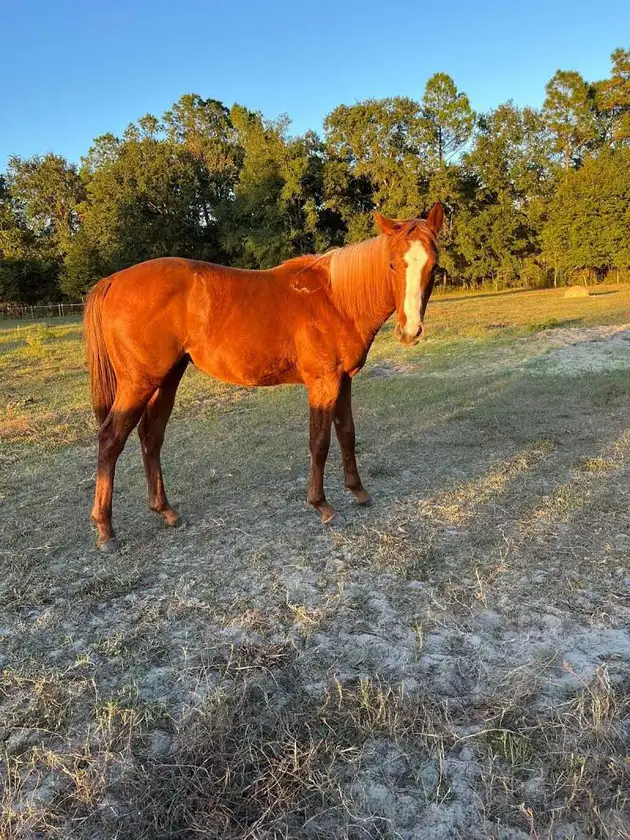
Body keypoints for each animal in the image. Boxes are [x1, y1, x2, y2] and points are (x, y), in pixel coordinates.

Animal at [84, 203, 444, 551]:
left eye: (433, 266)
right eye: (393, 265)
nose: (410, 332)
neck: (336, 300)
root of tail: (112, 281)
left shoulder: (344, 381)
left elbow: (347, 434)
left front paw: (358, 491)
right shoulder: (323, 382)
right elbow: (319, 442)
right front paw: (323, 506)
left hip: (166, 379)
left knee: (151, 437)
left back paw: (166, 511)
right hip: (138, 383)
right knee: (111, 440)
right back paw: (105, 530)